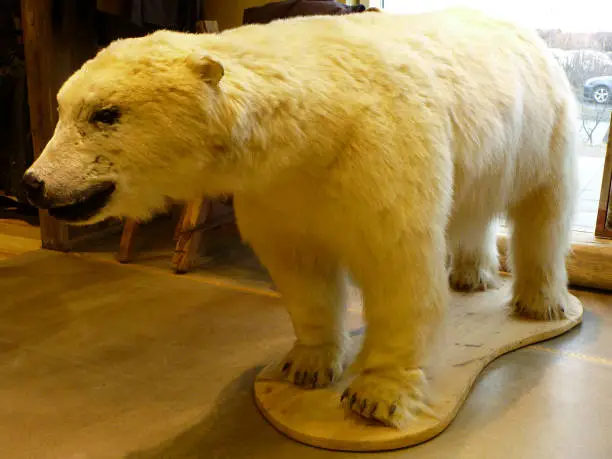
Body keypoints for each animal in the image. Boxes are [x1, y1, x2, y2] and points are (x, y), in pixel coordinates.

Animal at [23, 8, 576, 428]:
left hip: (544, 128)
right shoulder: (278, 191)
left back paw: (542, 304)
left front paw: (378, 395)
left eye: (105, 114)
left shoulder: (380, 156)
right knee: (473, 208)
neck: (317, 126)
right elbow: (301, 270)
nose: (34, 182)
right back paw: (471, 275)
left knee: (544, 212)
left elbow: (398, 266)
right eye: (62, 108)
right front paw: (306, 367)